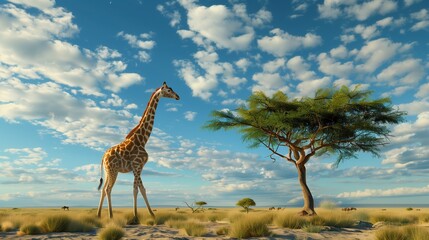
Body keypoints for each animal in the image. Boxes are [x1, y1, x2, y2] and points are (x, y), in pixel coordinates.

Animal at [96, 81, 178, 220]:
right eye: (168, 90)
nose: (178, 96)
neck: (142, 140)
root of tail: (103, 156)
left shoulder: (138, 167)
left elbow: (140, 188)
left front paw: (149, 214)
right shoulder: (137, 165)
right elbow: (137, 189)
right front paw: (137, 216)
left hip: (108, 171)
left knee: (103, 189)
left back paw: (99, 214)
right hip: (113, 171)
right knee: (108, 189)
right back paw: (111, 215)